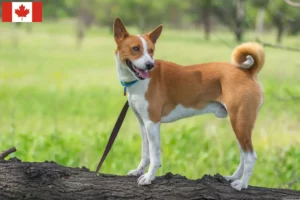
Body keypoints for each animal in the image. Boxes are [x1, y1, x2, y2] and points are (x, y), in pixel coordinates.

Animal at [112, 17, 264, 191]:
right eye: (136, 48)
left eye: (151, 51)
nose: (150, 65)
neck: (137, 82)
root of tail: (248, 72)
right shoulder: (143, 123)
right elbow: (145, 153)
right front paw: (138, 171)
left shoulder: (152, 122)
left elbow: (154, 155)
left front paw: (149, 177)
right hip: (239, 124)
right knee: (243, 155)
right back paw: (233, 177)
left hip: (240, 122)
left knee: (251, 156)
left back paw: (242, 184)